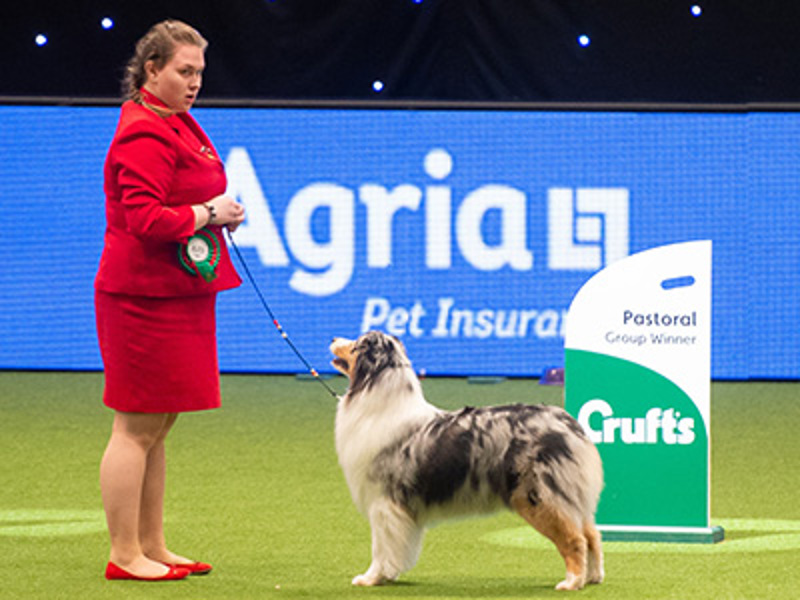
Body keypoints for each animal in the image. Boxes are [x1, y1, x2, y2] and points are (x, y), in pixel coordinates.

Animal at [328, 332, 604, 592]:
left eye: (356, 343)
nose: (332, 337)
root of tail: (567, 423)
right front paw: (388, 575)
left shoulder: (383, 502)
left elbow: (380, 547)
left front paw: (371, 578)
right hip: (569, 495)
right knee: (592, 534)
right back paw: (592, 578)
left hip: (538, 498)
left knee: (575, 539)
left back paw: (572, 582)